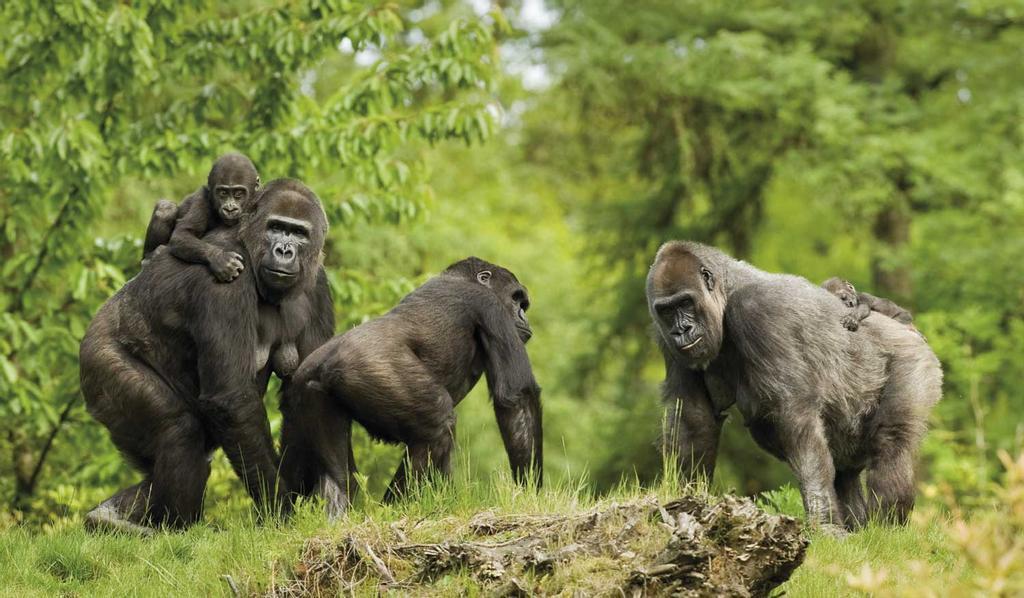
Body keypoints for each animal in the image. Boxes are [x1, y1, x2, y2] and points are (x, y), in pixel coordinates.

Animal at [279, 257, 542, 518]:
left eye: (523, 304)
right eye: (516, 299)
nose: (523, 316)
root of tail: (321, 364)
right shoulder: (491, 306)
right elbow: (516, 396)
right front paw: (529, 488)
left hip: (308, 390)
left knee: (338, 475)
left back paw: (338, 507)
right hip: (372, 370)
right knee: (438, 425)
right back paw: (398, 508)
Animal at [647, 241, 942, 531]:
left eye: (686, 302)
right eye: (667, 310)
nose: (681, 330)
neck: (727, 292)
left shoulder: (758, 309)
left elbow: (794, 414)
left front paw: (823, 520)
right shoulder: (663, 336)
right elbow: (695, 420)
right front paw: (688, 500)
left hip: (913, 356)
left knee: (891, 441)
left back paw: (886, 530)